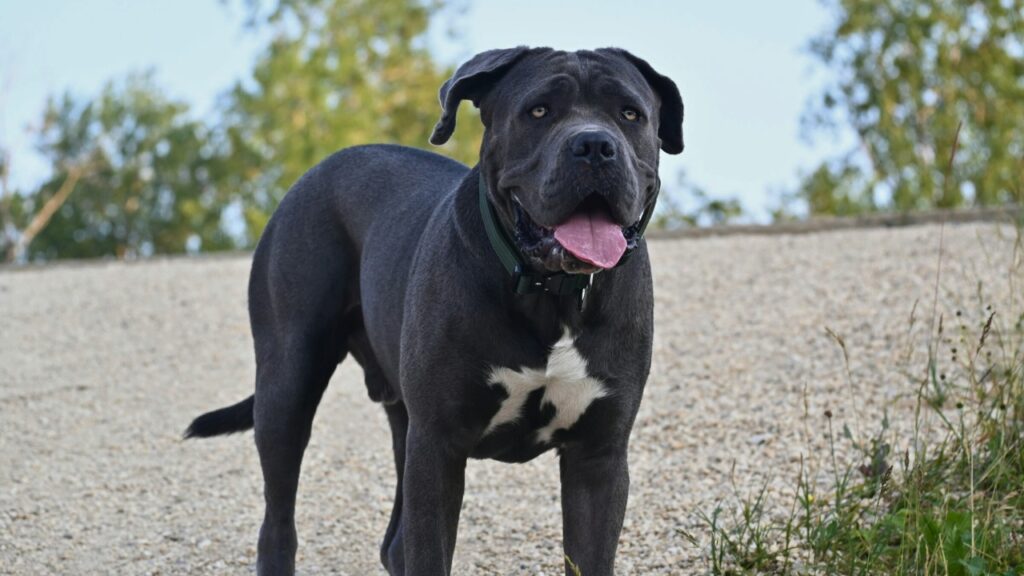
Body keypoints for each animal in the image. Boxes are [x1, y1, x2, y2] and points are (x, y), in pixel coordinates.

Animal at [188, 45, 684, 573]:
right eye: (539, 111)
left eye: (629, 114)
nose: (593, 145)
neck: (550, 293)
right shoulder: (438, 447)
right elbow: (429, 551)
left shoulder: (598, 458)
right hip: (288, 383)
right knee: (278, 521)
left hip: (401, 420)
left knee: (393, 542)